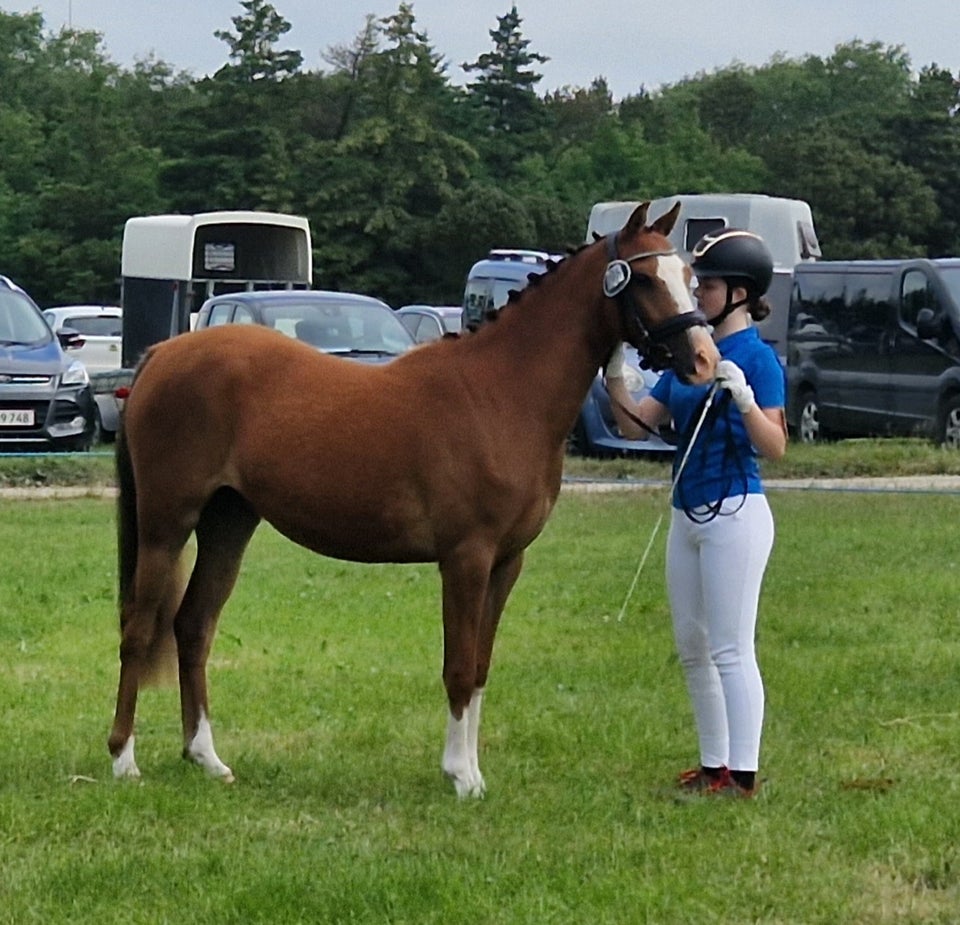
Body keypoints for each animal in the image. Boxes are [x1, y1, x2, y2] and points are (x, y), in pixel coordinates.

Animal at [109, 202, 716, 796]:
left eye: (690, 277)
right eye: (644, 278)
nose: (704, 361)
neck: (501, 394)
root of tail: (162, 353)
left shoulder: (506, 563)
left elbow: (480, 667)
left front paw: (471, 772)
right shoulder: (466, 559)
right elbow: (459, 667)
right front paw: (462, 776)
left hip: (228, 522)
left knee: (193, 626)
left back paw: (206, 758)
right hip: (166, 523)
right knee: (138, 628)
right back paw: (123, 760)